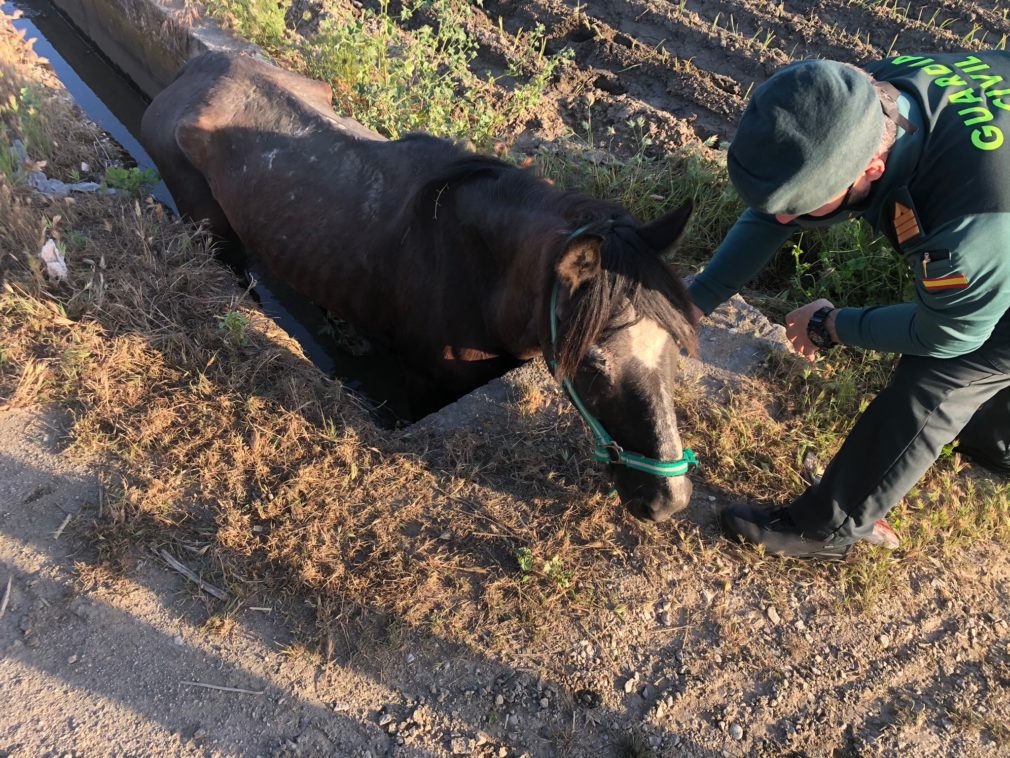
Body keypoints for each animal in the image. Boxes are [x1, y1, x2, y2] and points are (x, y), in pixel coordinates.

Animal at [138, 52, 698, 521]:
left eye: (675, 347)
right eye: (595, 362)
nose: (668, 501)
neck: (483, 278)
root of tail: (198, 66)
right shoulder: (426, 382)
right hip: (211, 232)